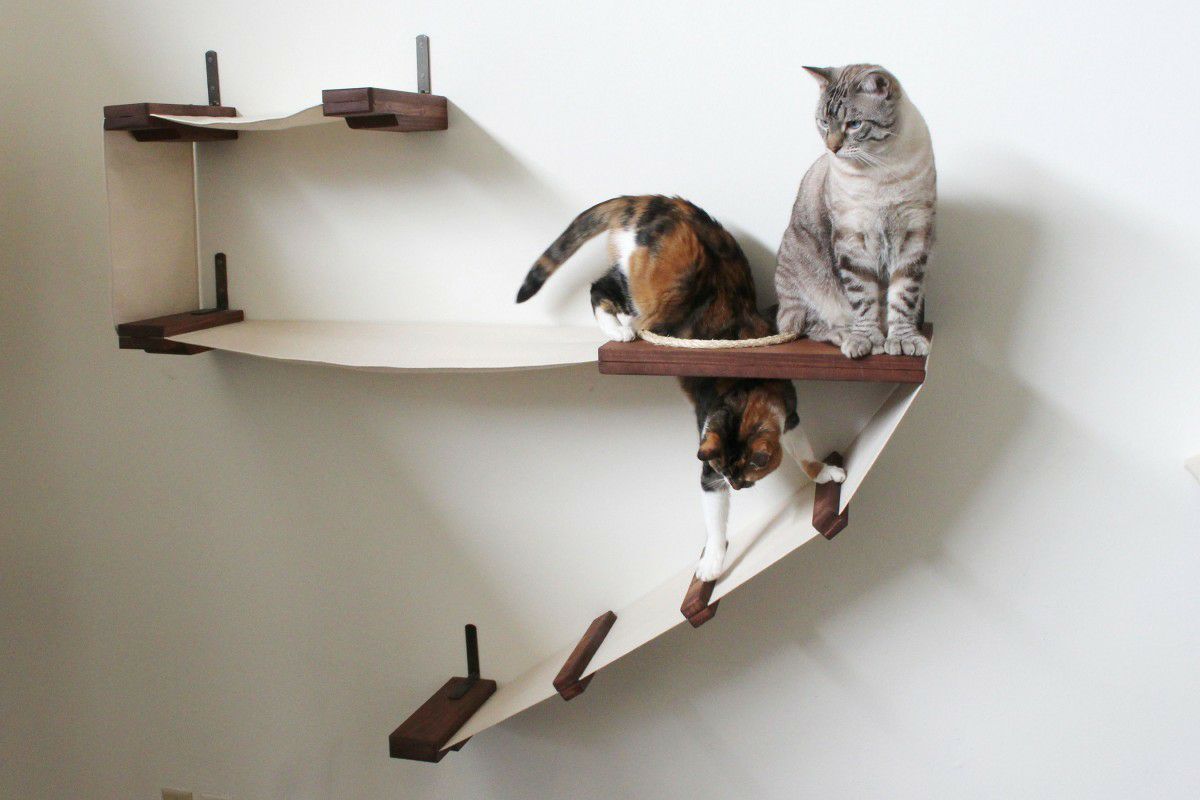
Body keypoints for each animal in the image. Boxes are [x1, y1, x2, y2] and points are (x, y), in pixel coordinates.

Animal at [516, 195, 844, 581]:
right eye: (727, 474)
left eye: (745, 473)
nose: (736, 486)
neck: (744, 392)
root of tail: (651, 201)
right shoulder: (709, 465)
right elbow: (715, 523)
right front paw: (712, 564)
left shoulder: (789, 416)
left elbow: (805, 453)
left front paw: (825, 473)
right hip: (654, 282)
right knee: (600, 288)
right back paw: (621, 330)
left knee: (603, 285)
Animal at [774, 64, 936, 359]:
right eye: (824, 123)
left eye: (854, 124)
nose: (832, 147)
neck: (882, 168)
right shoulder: (852, 238)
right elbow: (863, 298)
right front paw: (868, 340)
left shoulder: (913, 236)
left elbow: (902, 297)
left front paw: (903, 340)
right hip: (803, 283)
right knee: (804, 324)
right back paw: (844, 333)